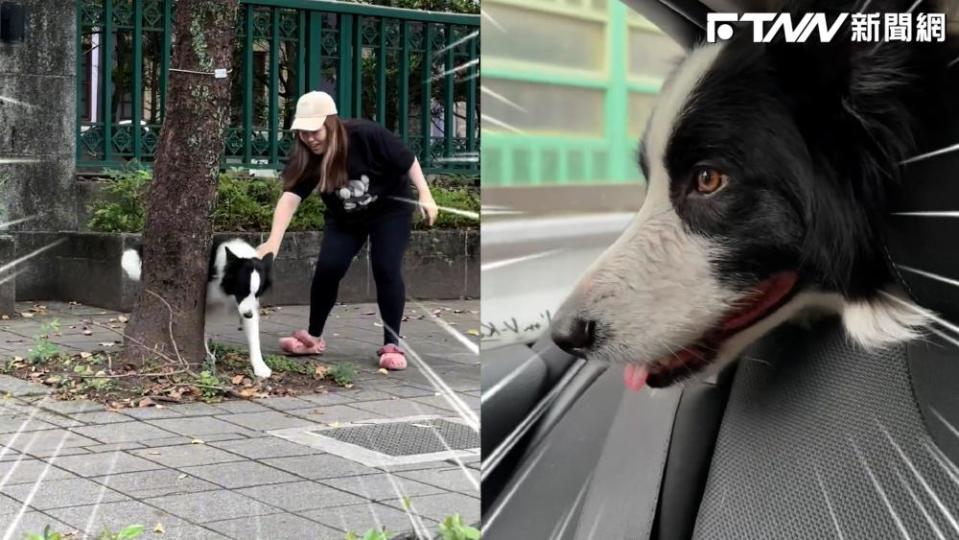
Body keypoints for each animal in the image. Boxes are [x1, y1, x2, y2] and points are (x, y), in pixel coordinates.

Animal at [122, 238, 276, 378]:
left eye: (258, 293)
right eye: (241, 290)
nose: (248, 315)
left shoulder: (249, 306)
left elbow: (254, 337)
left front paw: (260, 366)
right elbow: (202, 330)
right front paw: (207, 355)